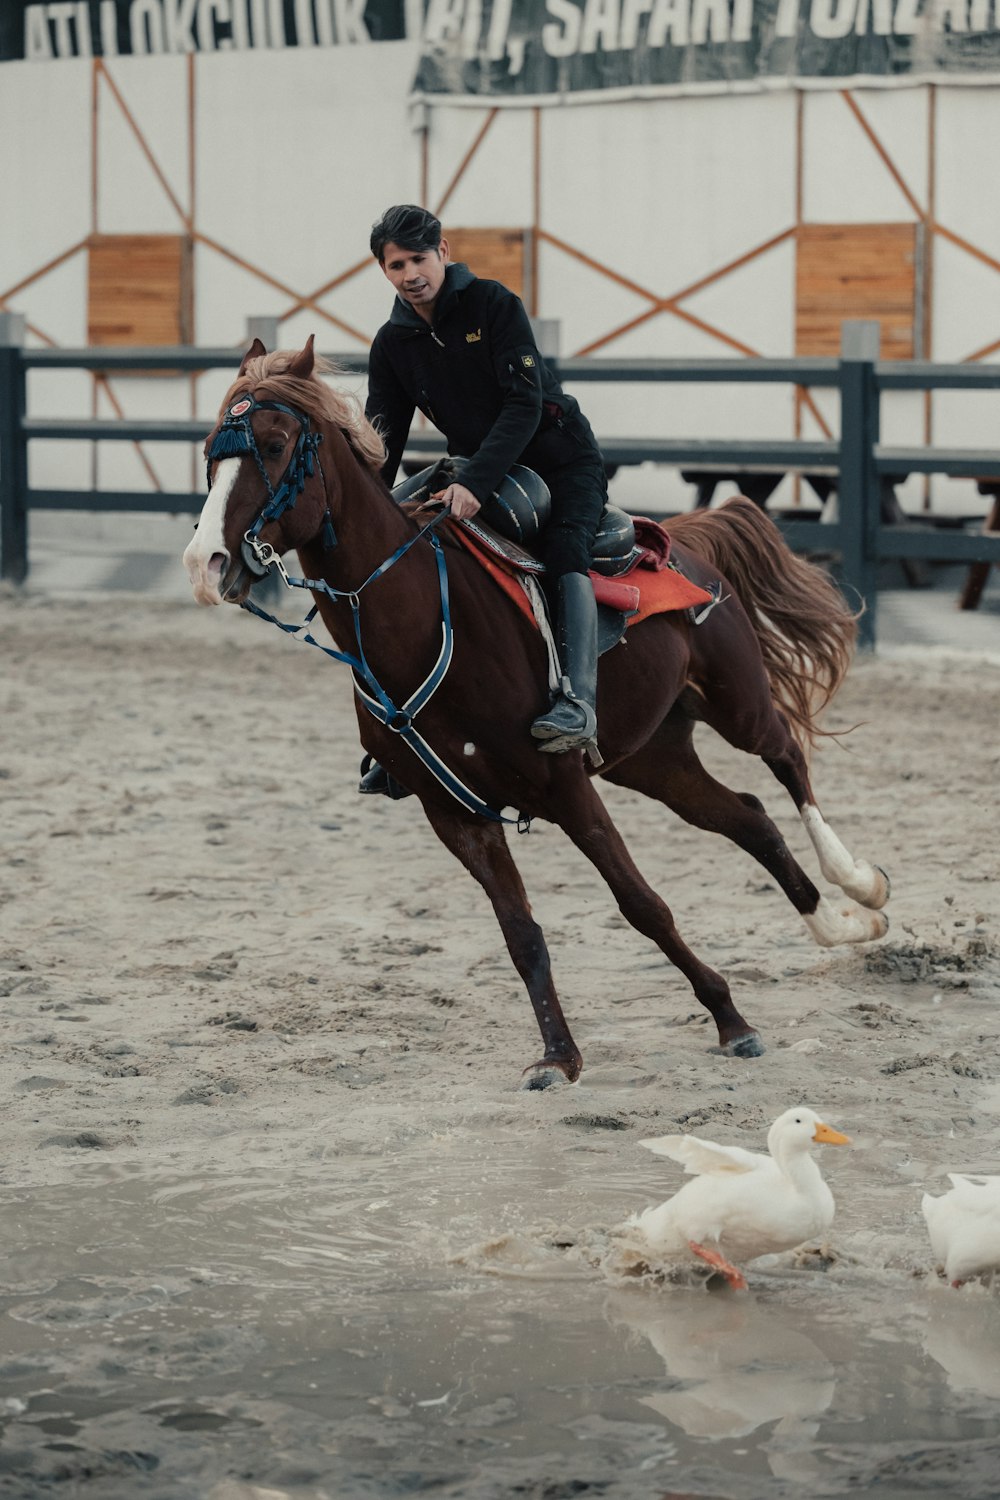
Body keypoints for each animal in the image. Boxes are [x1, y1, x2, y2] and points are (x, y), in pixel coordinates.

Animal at [183, 340, 887, 1092]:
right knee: (749, 815)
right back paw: (839, 926)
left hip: (737, 702)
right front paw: (558, 1055)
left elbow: (643, 905)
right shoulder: (455, 814)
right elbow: (521, 934)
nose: (205, 562)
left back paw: (860, 886)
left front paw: (732, 1022)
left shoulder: (566, 787)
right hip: (654, 760)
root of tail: (685, 537)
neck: (427, 619)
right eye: (212, 449)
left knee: (786, 759)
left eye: (275, 444)